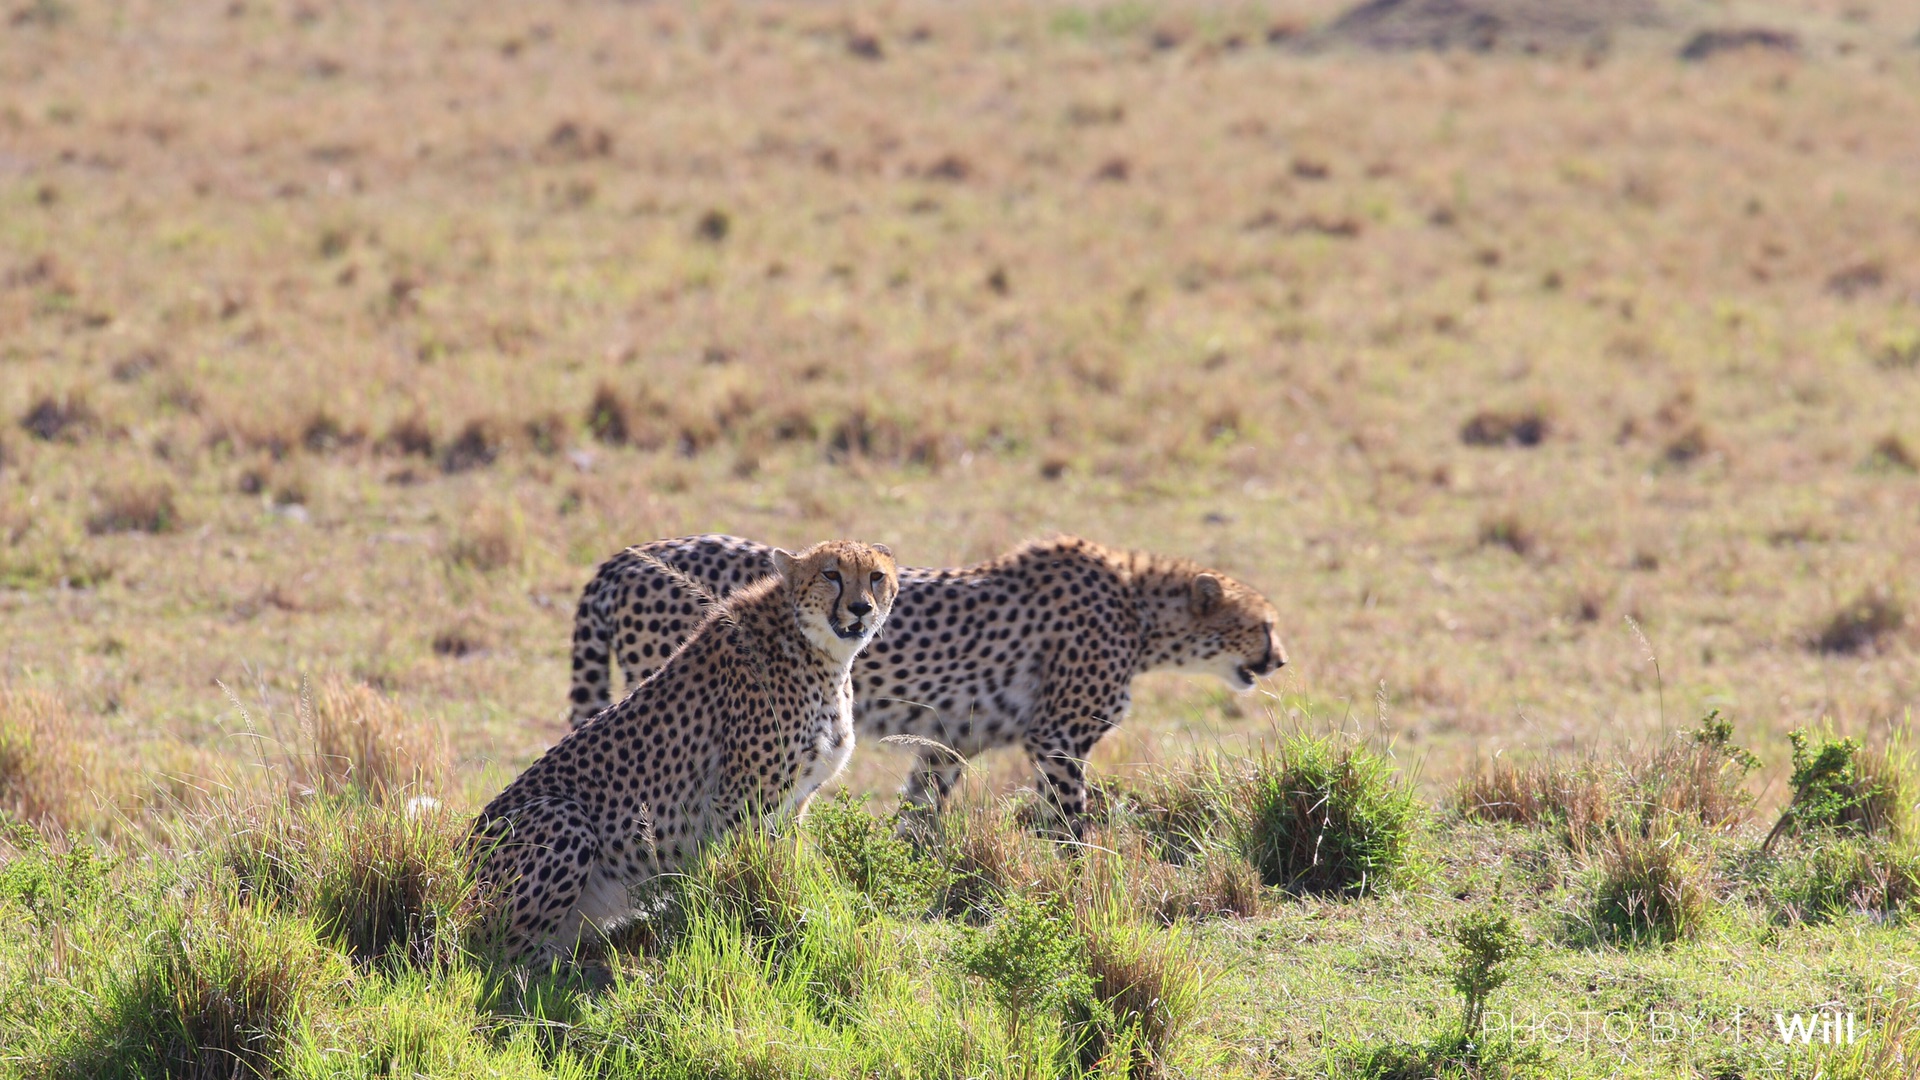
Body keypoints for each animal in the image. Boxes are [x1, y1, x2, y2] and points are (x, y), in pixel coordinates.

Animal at [476, 538, 902, 957]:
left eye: (876, 576)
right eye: (831, 574)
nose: (861, 608)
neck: (819, 652)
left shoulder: (792, 802)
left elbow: (783, 869)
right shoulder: (741, 800)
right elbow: (750, 875)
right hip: (562, 816)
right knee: (501, 953)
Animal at [568, 534, 1290, 822]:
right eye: (1263, 625)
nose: (1280, 659)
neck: (1142, 611)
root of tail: (627, 555)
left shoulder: (949, 740)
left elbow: (918, 815)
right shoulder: (1057, 739)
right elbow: (1068, 825)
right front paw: (1078, 892)